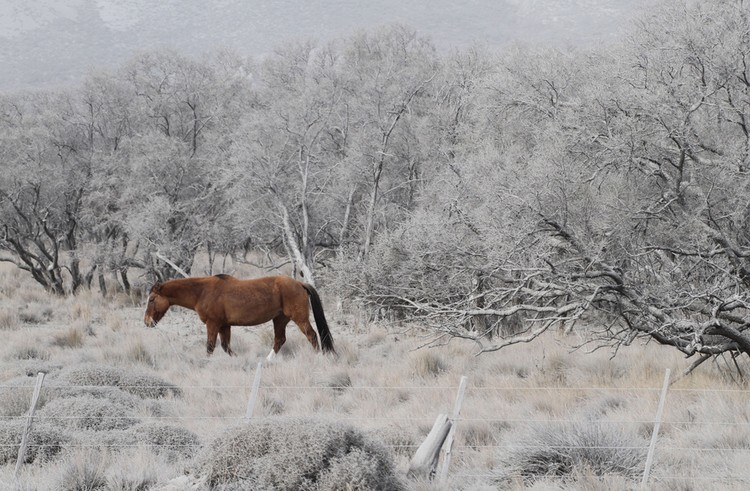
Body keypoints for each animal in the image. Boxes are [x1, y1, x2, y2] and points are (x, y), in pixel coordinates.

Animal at [143, 274, 334, 360]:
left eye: (151, 299)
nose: (147, 322)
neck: (202, 292)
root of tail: (300, 283)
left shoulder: (213, 324)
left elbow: (210, 347)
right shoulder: (224, 326)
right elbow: (226, 347)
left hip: (299, 318)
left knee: (312, 335)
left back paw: (319, 357)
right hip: (280, 319)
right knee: (280, 340)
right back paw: (267, 361)